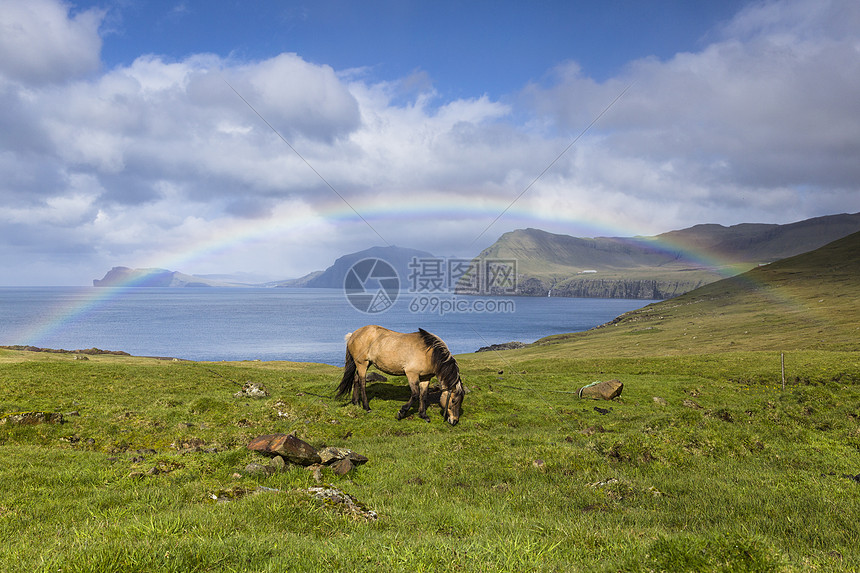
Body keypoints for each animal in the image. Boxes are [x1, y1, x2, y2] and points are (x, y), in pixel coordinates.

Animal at [338, 324, 470, 422]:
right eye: (453, 401)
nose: (454, 421)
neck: (430, 354)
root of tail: (353, 334)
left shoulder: (425, 378)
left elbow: (423, 395)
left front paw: (423, 415)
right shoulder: (412, 374)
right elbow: (415, 394)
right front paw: (401, 413)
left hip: (364, 363)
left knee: (356, 379)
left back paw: (356, 403)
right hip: (362, 364)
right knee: (362, 383)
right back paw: (366, 407)